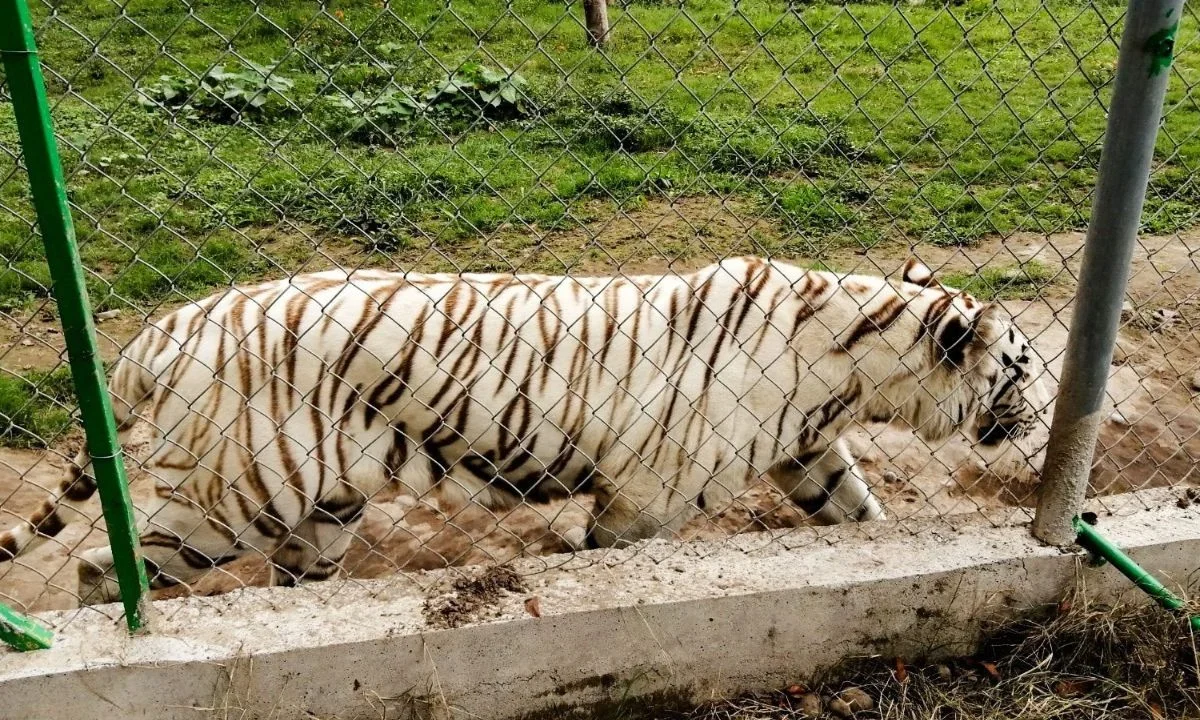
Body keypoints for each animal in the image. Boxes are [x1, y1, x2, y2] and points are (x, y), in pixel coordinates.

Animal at [0, 256, 1049, 604]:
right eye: (1025, 365)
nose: (1043, 417)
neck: (854, 366)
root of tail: (165, 327)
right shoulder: (648, 496)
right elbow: (611, 554)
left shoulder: (807, 451)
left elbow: (860, 514)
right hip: (235, 496)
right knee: (101, 569)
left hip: (321, 508)